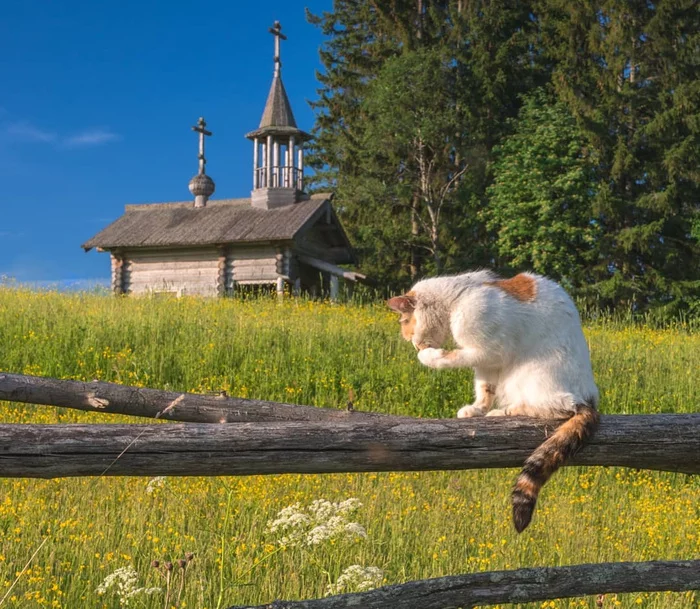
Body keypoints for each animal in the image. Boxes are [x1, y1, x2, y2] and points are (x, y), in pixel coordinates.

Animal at [386, 270, 600, 532]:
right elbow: (484, 386)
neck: (459, 296)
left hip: (531, 375)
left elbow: (449, 357)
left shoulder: (487, 349)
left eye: (405, 323)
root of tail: (589, 401)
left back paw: (505, 411)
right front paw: (476, 409)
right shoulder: (487, 362)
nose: (412, 343)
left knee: (559, 408)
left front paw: (427, 356)